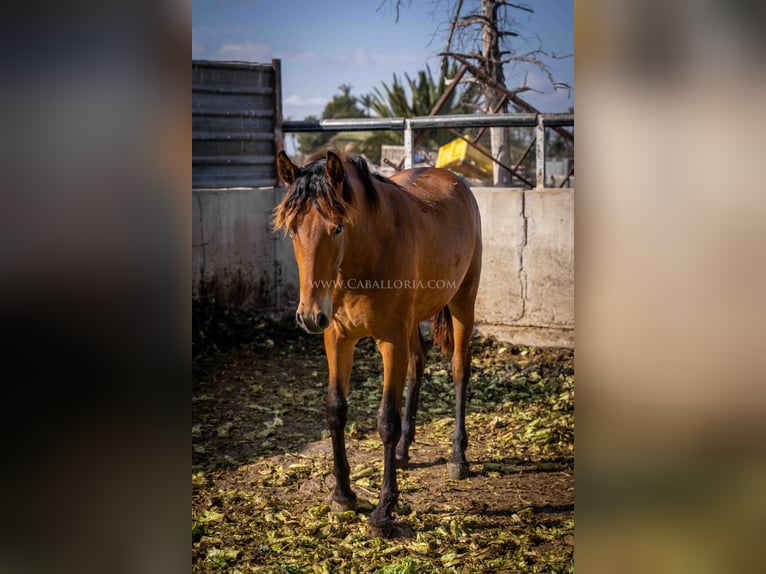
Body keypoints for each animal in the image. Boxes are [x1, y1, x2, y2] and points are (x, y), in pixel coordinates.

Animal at [272, 151, 484, 536]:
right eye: (293, 230)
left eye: (337, 228)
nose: (309, 316)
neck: (366, 253)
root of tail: (454, 180)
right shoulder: (337, 338)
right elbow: (336, 409)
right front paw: (342, 495)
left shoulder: (390, 340)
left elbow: (387, 419)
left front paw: (384, 510)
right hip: (412, 323)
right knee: (418, 361)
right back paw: (402, 451)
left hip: (463, 300)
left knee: (460, 370)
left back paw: (457, 457)